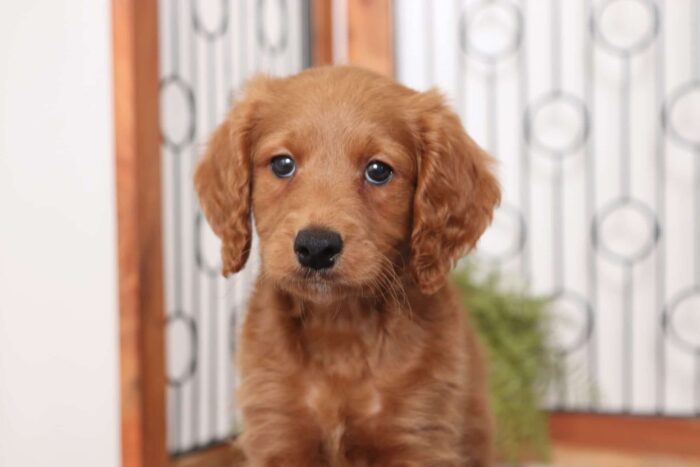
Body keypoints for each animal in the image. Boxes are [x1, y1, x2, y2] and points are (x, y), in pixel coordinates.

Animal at [194, 66, 500, 467]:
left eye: (378, 171)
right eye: (282, 164)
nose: (316, 247)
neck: (339, 327)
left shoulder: (418, 432)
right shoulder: (277, 428)